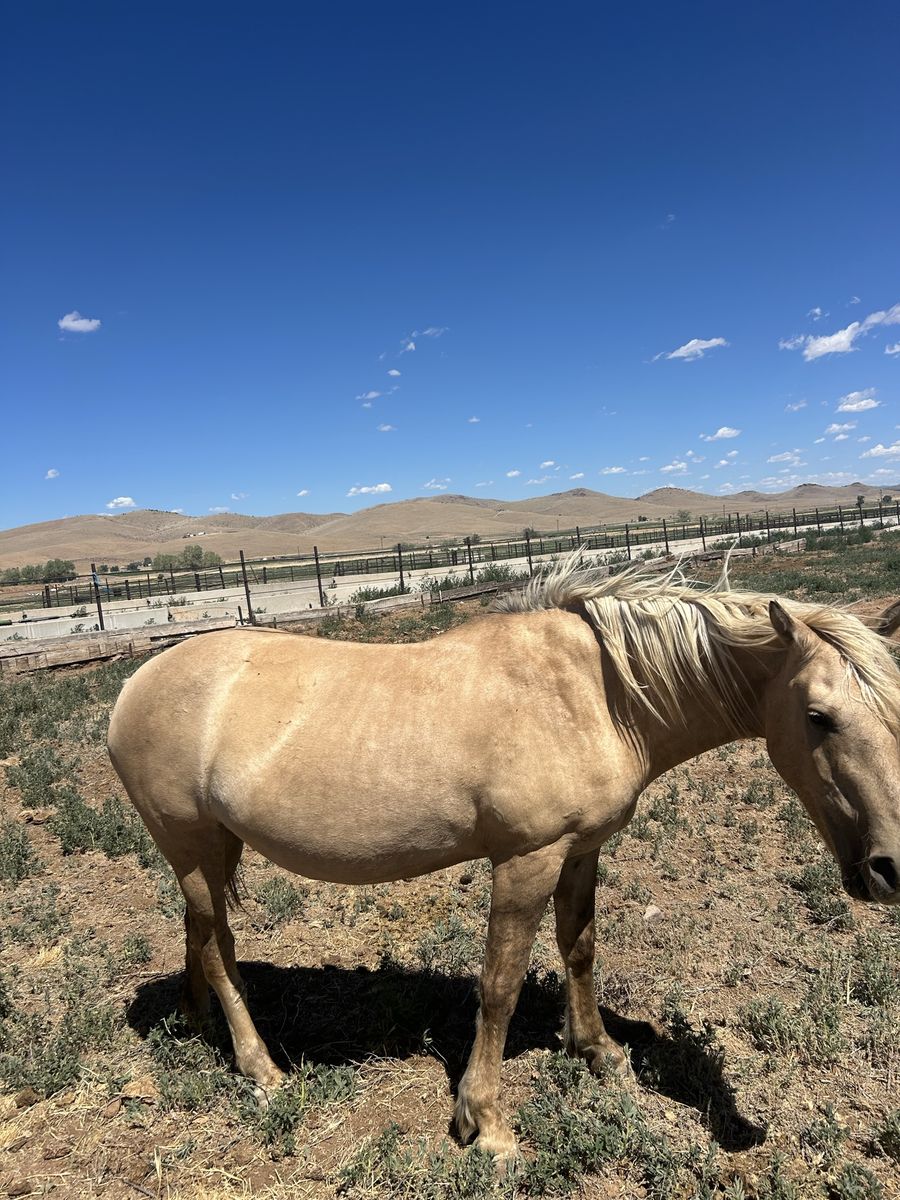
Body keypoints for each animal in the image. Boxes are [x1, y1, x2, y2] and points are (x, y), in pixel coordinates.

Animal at [107, 559, 900, 1160]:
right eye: (819, 717)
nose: (890, 870)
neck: (596, 693)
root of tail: (132, 685)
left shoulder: (581, 851)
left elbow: (578, 948)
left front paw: (598, 1051)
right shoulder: (526, 860)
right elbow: (500, 985)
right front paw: (484, 1122)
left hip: (213, 846)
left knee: (200, 933)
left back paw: (197, 1023)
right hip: (191, 845)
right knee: (218, 946)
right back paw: (261, 1068)